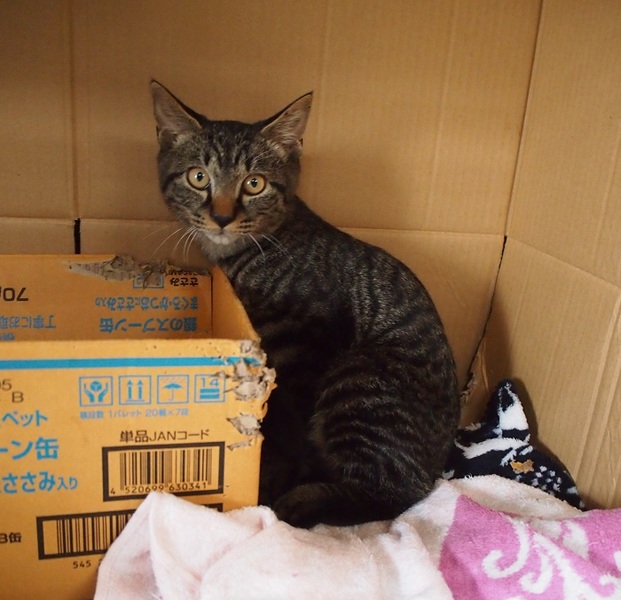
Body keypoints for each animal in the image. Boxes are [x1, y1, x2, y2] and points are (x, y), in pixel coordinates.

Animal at [150, 81, 461, 528]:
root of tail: (440, 461)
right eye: (198, 177)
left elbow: (293, 435)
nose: (222, 216)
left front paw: (273, 480)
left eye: (255, 184)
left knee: (394, 493)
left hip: (360, 378)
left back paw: (302, 502)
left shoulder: (307, 354)